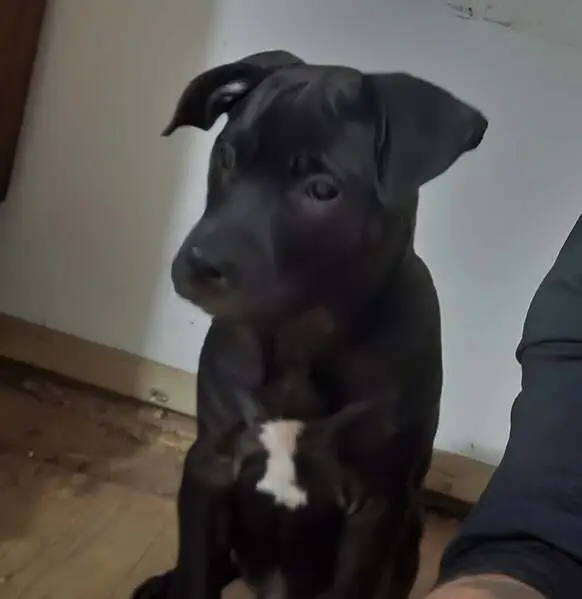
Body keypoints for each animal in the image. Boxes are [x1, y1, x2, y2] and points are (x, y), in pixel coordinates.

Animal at [132, 50, 487, 599]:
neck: (299, 338)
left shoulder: (373, 508)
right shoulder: (210, 467)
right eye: (226, 157)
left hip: (408, 531)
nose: (199, 263)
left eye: (323, 190)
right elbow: (195, 569)